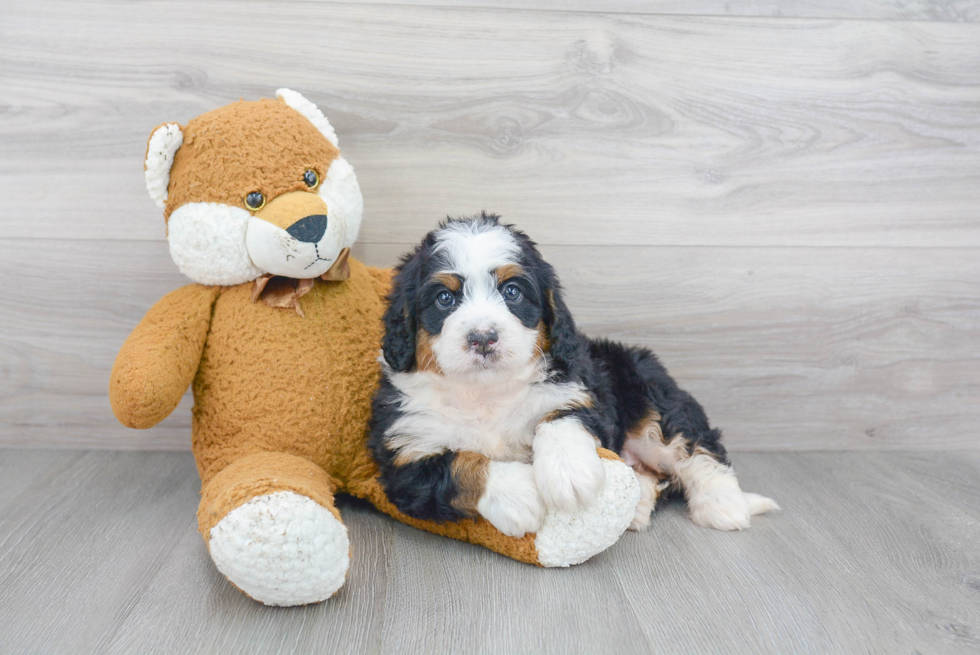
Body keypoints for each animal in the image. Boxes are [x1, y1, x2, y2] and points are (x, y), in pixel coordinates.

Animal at [364, 215, 776, 540]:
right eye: (445, 299)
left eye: (512, 291)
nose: (483, 337)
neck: (485, 392)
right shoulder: (404, 455)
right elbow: (460, 465)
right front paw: (520, 495)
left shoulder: (580, 390)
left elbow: (561, 417)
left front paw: (569, 474)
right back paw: (639, 505)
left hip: (650, 394)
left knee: (694, 448)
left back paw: (724, 504)